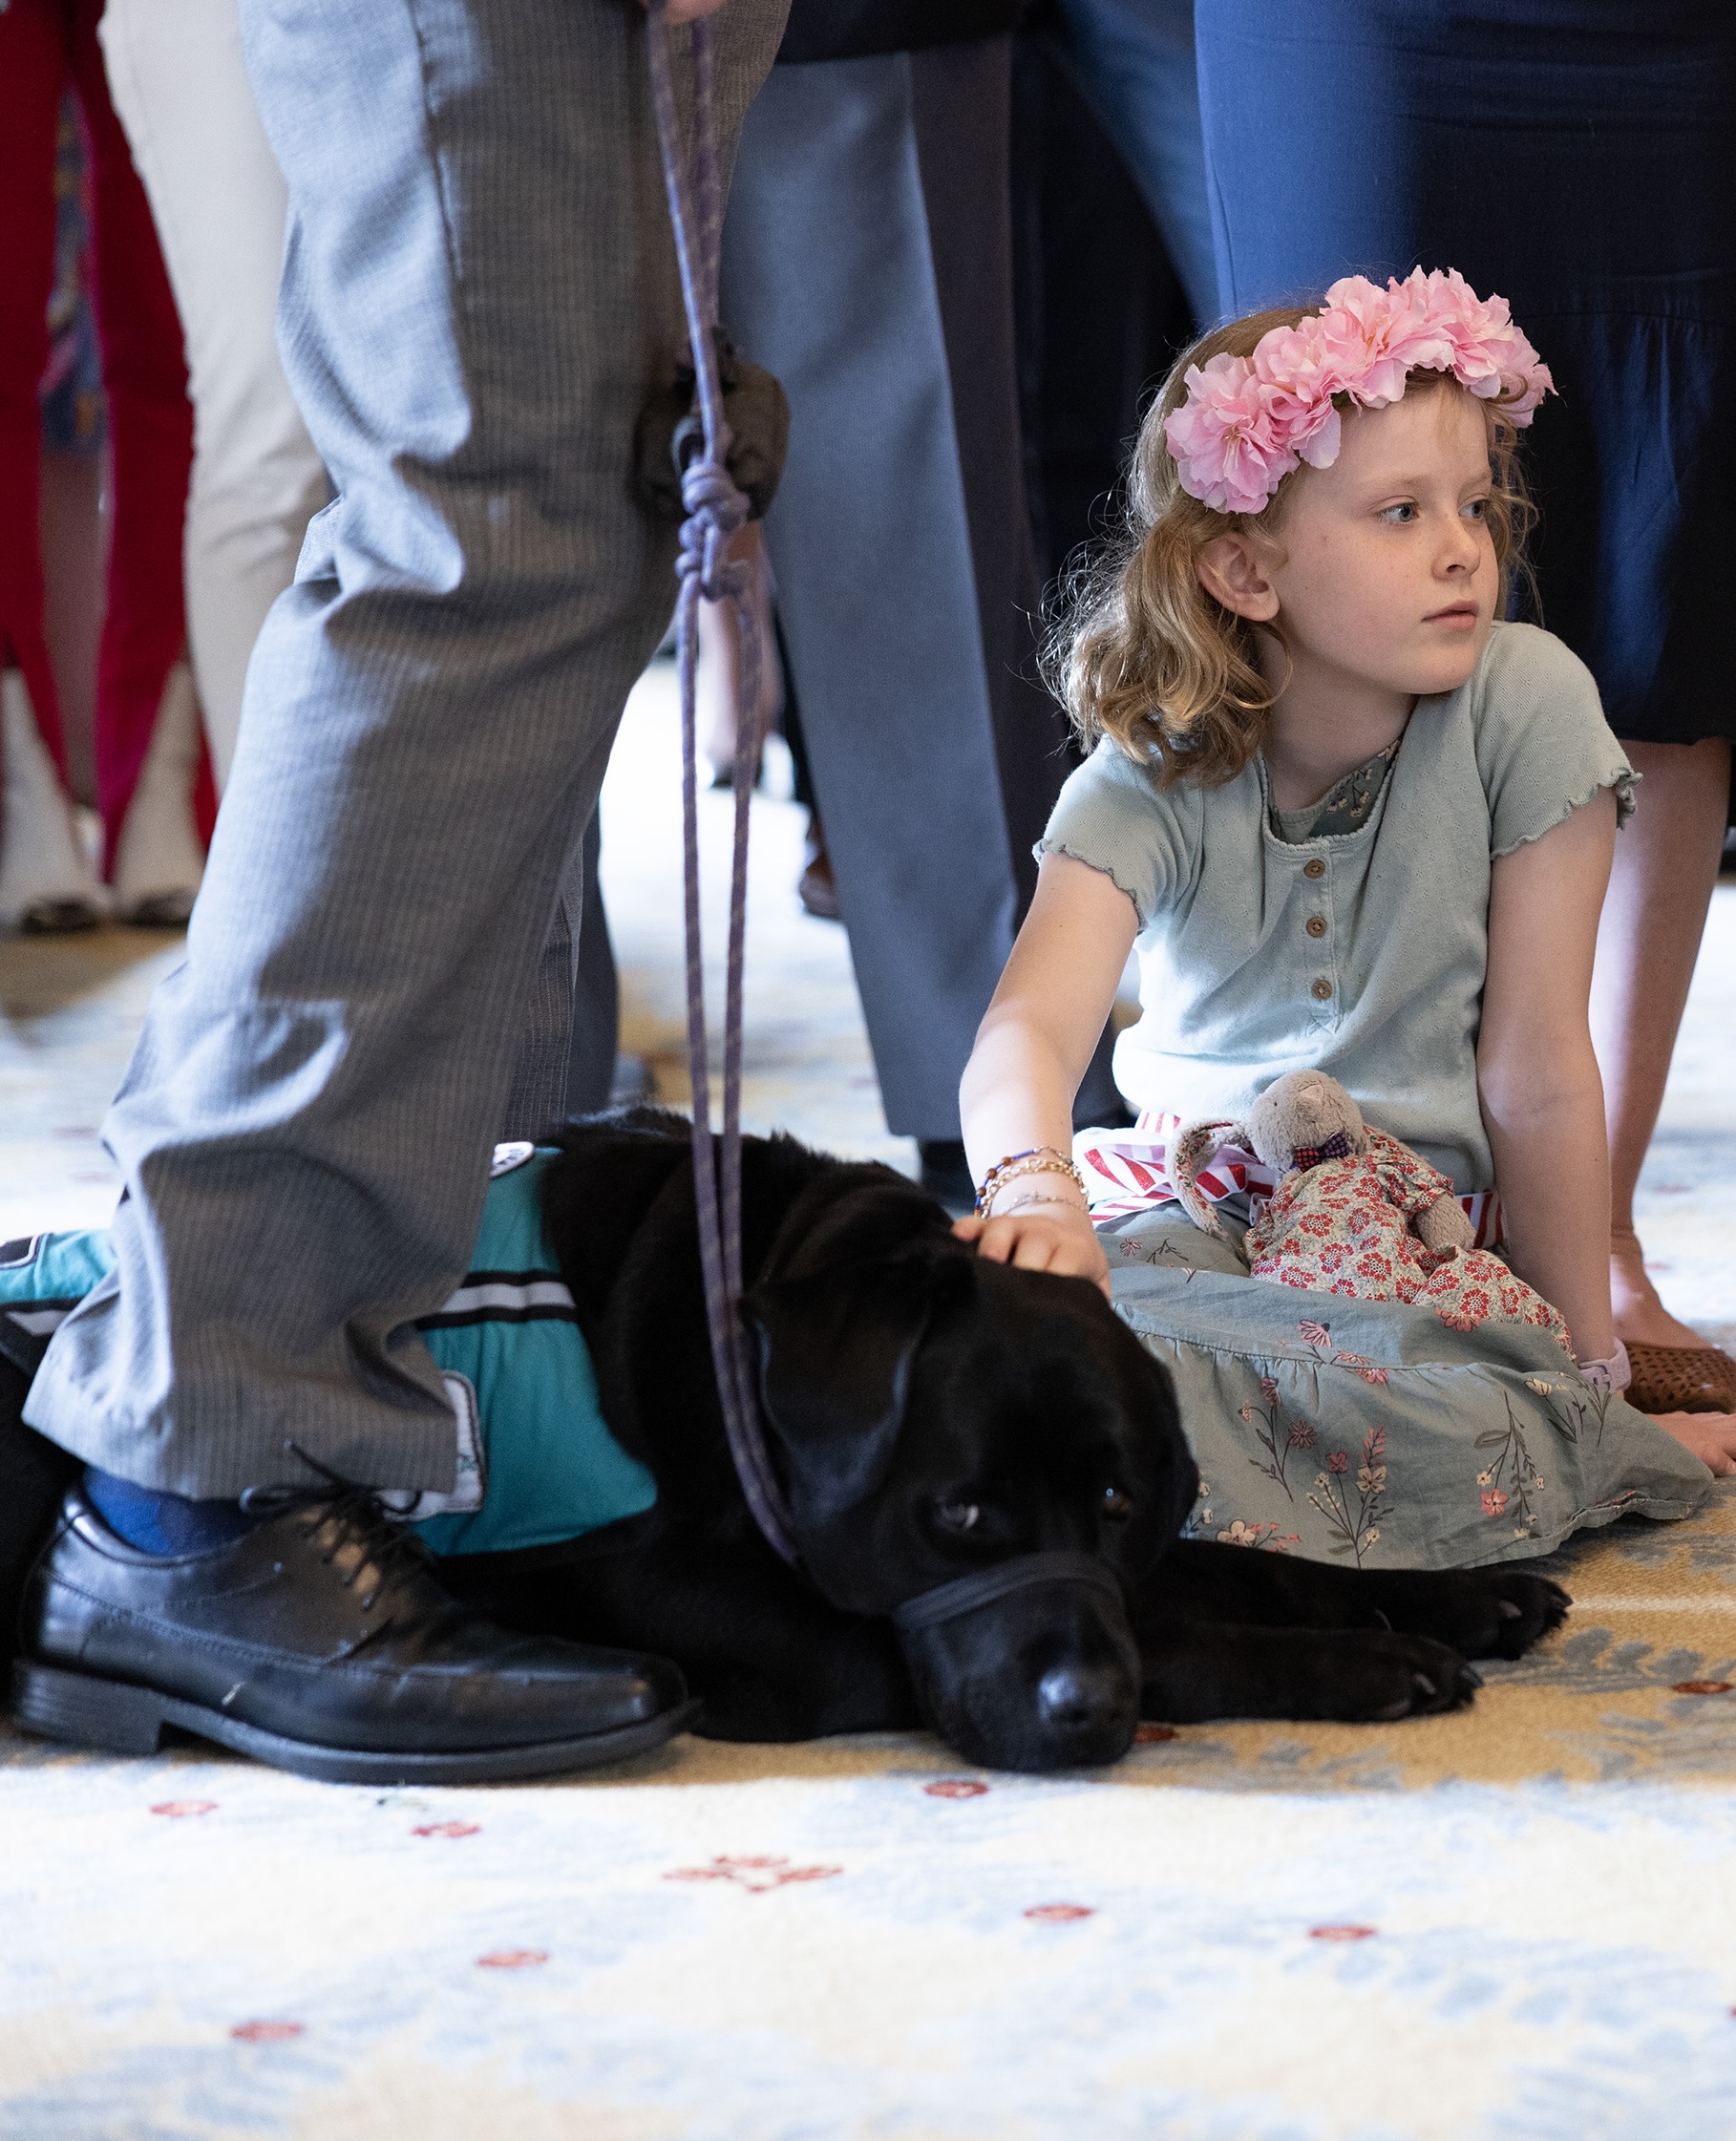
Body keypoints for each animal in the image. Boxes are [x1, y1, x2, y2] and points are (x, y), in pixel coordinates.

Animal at [0, 1104, 1566, 1772]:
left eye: (1118, 1501)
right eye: (956, 1516)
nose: (1086, 1711)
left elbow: (1240, 1561)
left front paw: (1459, 1595)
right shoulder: (696, 1597)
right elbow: (1177, 1621)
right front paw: (1367, 1664)